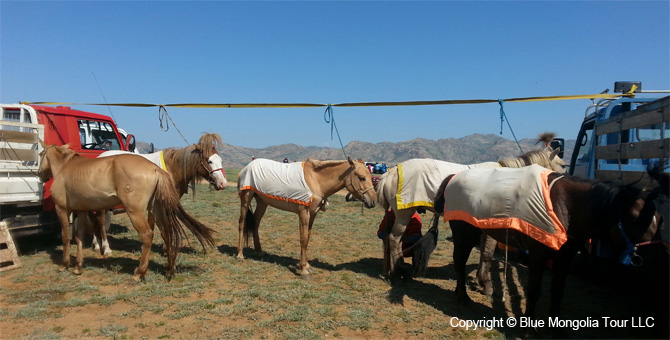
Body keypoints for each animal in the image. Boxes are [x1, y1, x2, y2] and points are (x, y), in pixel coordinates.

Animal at [38, 141, 217, 282]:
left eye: (40, 154)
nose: (40, 175)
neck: (66, 168)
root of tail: (155, 169)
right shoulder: (81, 210)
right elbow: (79, 237)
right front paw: (78, 266)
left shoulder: (62, 209)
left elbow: (66, 236)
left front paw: (64, 264)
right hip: (156, 209)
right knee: (167, 233)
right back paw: (168, 269)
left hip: (136, 211)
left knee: (147, 235)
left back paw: (139, 272)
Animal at [88, 133, 228, 255]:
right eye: (209, 161)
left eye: (221, 160)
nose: (223, 183)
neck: (172, 169)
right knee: (100, 221)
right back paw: (106, 248)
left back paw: (96, 244)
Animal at [238, 158, 378, 278]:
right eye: (362, 178)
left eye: (371, 178)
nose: (373, 202)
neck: (316, 180)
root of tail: (246, 167)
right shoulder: (303, 213)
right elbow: (303, 239)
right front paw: (303, 270)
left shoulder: (313, 214)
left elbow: (307, 238)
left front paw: (307, 265)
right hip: (246, 199)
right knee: (242, 223)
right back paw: (240, 255)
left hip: (262, 202)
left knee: (255, 223)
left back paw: (259, 251)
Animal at [378, 145, 568, 278]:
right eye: (563, 165)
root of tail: (391, 172)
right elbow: (487, 250)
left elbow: (485, 249)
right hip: (404, 213)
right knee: (394, 238)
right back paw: (397, 270)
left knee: (389, 238)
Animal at [434, 165, 664, 334]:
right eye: (635, 218)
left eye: (660, 219)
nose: (657, 259)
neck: (565, 206)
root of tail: (453, 177)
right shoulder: (538, 256)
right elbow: (534, 290)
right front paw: (528, 328)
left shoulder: (564, 258)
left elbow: (557, 291)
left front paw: (556, 328)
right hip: (464, 232)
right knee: (460, 261)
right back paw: (463, 297)